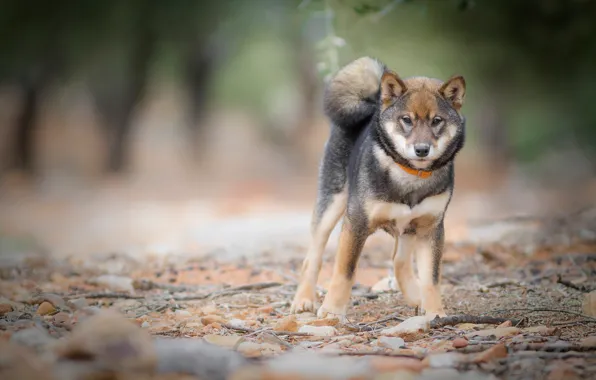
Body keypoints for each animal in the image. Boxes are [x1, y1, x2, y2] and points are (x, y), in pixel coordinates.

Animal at [288, 56, 466, 320]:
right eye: (406, 120)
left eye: (437, 121)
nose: (422, 150)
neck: (410, 175)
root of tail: (370, 106)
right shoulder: (356, 224)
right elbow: (345, 272)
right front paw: (332, 311)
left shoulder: (431, 229)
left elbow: (432, 279)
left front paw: (435, 314)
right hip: (330, 207)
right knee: (312, 259)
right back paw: (303, 300)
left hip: (408, 228)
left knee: (399, 261)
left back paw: (417, 298)